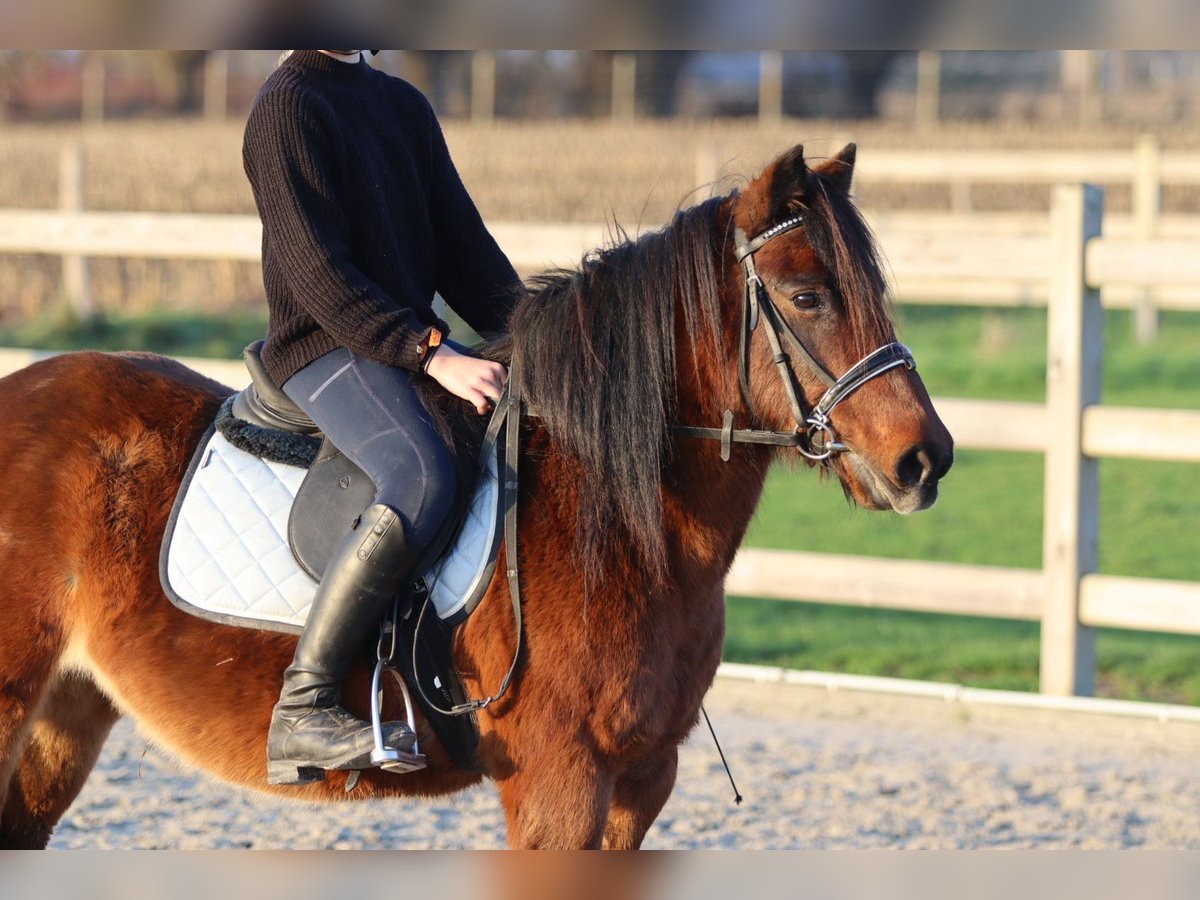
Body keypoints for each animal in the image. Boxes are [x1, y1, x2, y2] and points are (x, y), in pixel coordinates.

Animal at [0, 142, 952, 849]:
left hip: (64, 717)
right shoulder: (560, 781)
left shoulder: (642, 780)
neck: (619, 519)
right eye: (806, 296)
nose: (926, 460)